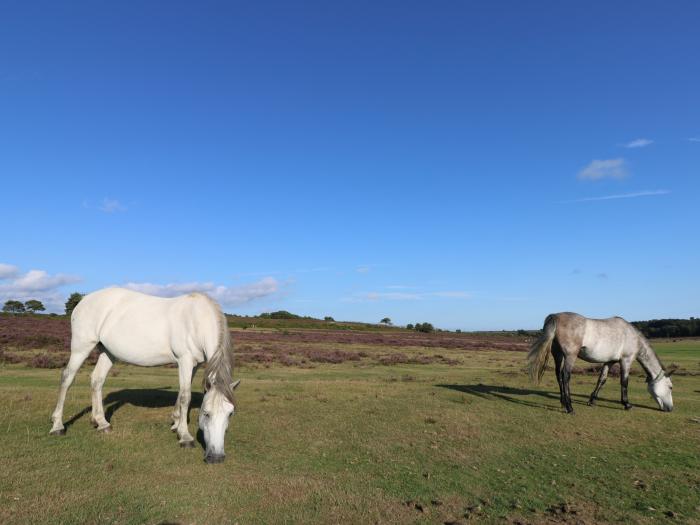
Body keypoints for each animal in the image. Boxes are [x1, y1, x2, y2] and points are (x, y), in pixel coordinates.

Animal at [49, 286, 241, 462]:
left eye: (230, 413)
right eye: (206, 413)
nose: (216, 457)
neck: (196, 319)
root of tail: (84, 300)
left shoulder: (194, 365)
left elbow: (181, 392)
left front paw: (176, 422)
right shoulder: (184, 360)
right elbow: (186, 396)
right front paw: (185, 436)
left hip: (108, 352)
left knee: (97, 380)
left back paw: (101, 423)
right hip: (81, 348)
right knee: (67, 378)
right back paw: (58, 426)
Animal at [532, 314, 672, 412]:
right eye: (670, 387)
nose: (670, 408)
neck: (632, 336)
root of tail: (555, 316)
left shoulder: (609, 362)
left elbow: (602, 380)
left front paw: (592, 401)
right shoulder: (626, 360)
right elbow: (624, 382)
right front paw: (626, 404)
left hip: (558, 355)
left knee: (558, 376)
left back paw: (563, 403)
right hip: (570, 356)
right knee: (565, 377)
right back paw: (570, 407)